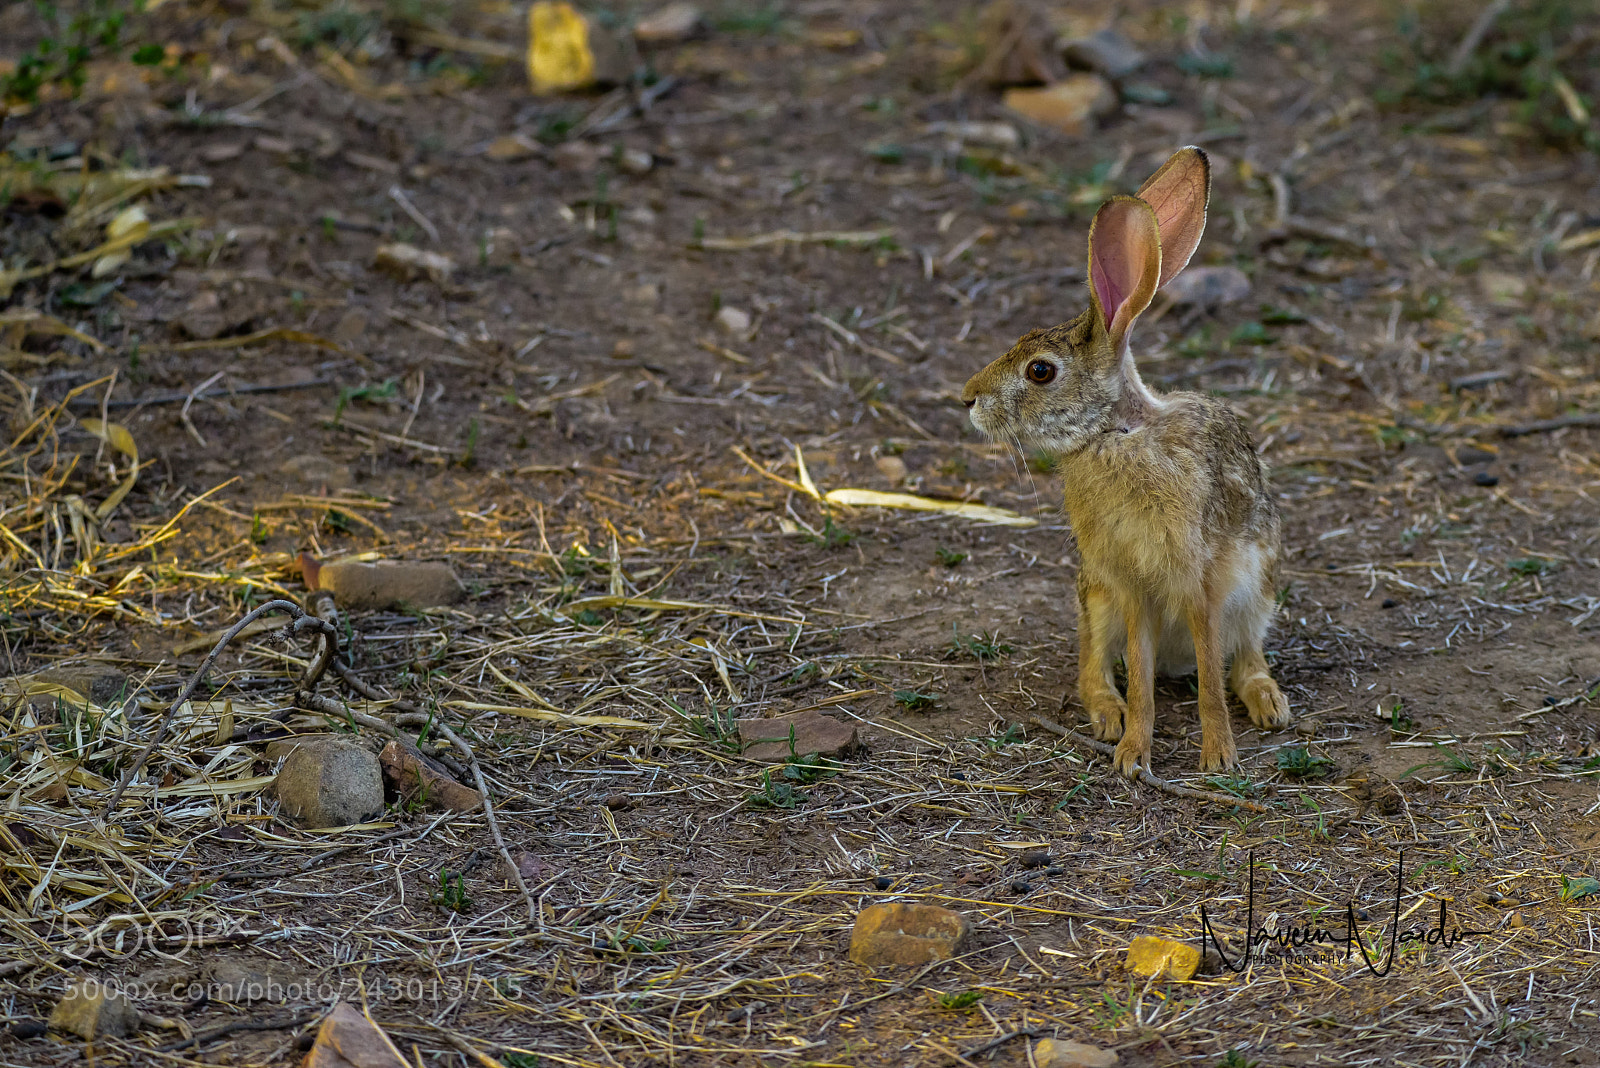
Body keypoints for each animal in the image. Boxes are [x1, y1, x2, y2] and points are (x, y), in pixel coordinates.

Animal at [960, 146, 1291, 777]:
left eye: (1040, 371)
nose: (968, 398)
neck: (1117, 432)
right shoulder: (1132, 585)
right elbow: (1138, 676)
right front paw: (1132, 753)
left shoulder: (1199, 579)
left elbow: (1211, 680)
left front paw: (1218, 756)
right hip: (1097, 593)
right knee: (1094, 662)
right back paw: (1107, 716)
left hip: (1255, 593)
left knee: (1243, 658)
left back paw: (1269, 705)